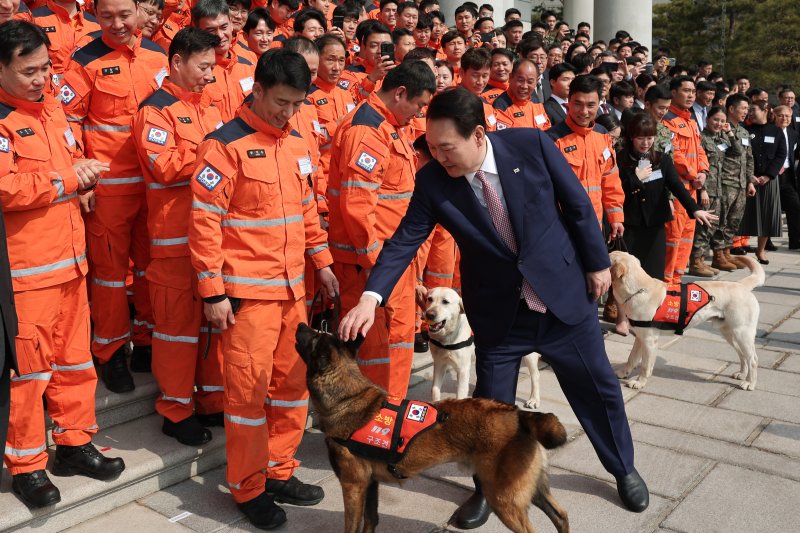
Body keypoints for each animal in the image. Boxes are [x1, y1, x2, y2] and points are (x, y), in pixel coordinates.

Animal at [294, 322, 568, 528]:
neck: (348, 398)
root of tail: (520, 415)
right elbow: (371, 521)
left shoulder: (353, 487)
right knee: (561, 515)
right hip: (529, 489)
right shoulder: (370, 485)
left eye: (316, 336)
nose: (300, 324)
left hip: (504, 498)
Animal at [612, 249, 764, 390]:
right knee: (743, 355)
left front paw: (640, 382)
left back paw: (750, 383)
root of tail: (741, 285)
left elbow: (645, 365)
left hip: (742, 333)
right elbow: (631, 358)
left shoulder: (649, 340)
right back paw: (742, 374)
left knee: (753, 359)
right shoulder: (640, 337)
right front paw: (623, 373)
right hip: (729, 333)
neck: (639, 290)